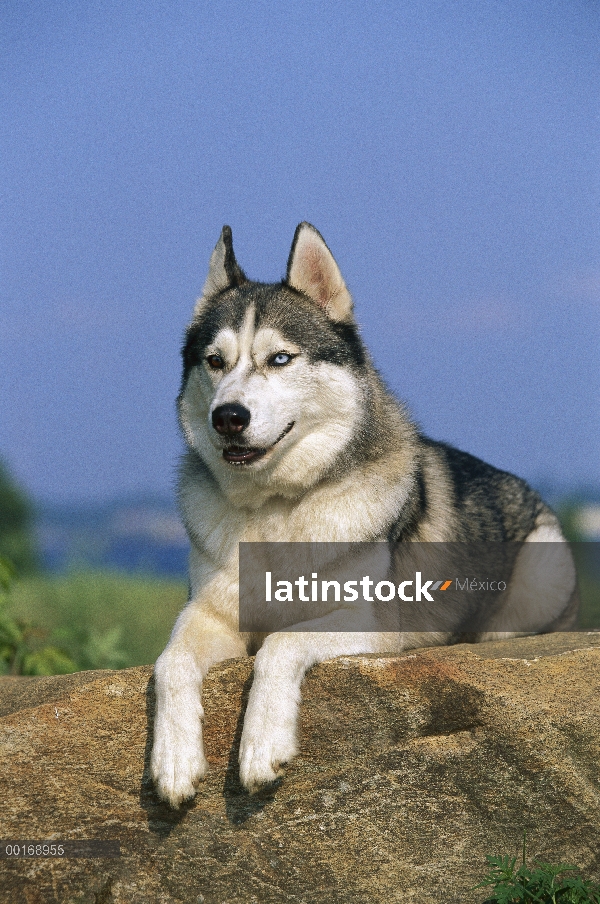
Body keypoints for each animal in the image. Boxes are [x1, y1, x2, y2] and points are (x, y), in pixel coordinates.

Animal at [150, 224, 576, 804]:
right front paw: (173, 760)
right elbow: (168, 662)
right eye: (214, 361)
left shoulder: (371, 623)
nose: (228, 417)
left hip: (541, 573)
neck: (277, 509)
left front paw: (262, 745)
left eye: (280, 358)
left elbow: (280, 644)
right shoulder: (210, 613)